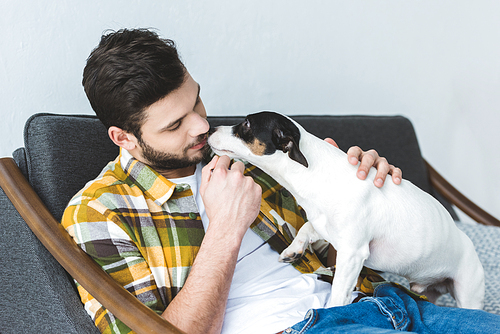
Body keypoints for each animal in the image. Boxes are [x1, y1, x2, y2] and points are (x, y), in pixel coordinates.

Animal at [209, 111, 486, 308]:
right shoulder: (325, 227)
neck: (317, 174)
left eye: (246, 124)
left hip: (468, 293)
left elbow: (338, 292)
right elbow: (306, 228)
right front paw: (293, 250)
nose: (210, 128)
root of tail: (468, 244)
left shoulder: (352, 253)